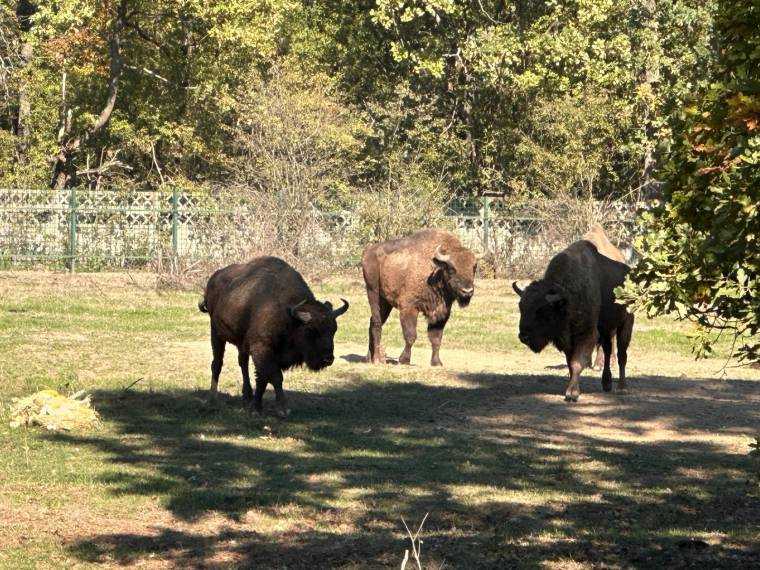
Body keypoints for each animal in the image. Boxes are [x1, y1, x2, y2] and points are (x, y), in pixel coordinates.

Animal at [360, 229, 476, 366]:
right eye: (452, 269)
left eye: (474, 268)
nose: (467, 291)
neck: (435, 270)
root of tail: (368, 251)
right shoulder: (409, 309)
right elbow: (411, 336)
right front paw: (404, 360)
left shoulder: (442, 314)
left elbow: (436, 338)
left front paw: (436, 362)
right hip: (373, 293)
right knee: (377, 323)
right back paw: (377, 359)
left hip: (385, 303)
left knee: (372, 322)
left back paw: (369, 358)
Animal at [510, 239, 636, 400]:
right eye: (521, 307)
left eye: (542, 311)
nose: (523, 336)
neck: (566, 299)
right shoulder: (568, 341)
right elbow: (570, 363)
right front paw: (571, 388)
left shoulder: (586, 335)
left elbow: (577, 362)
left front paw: (572, 393)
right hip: (607, 329)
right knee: (607, 351)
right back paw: (606, 384)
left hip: (625, 324)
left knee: (622, 356)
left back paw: (622, 388)